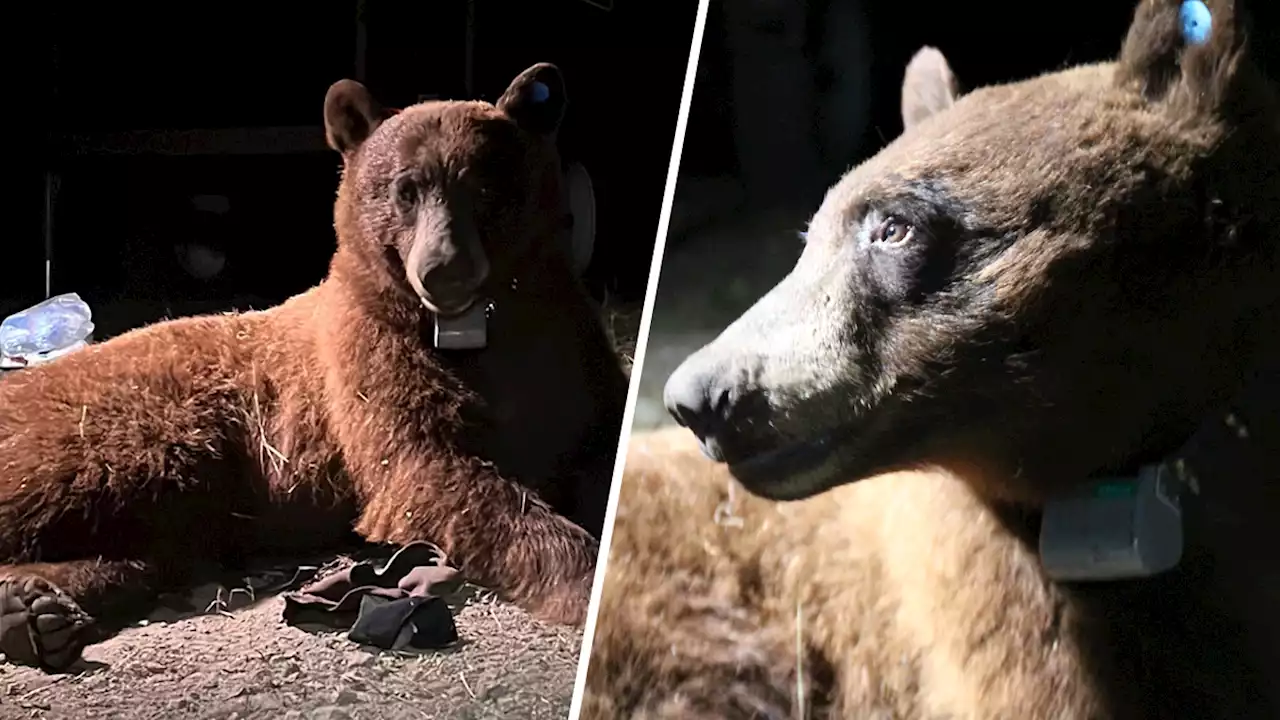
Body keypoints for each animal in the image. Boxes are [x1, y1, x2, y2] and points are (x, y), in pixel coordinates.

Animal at [0, 64, 624, 671]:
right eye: (405, 189)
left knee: (145, 553)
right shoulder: (372, 368)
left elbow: (594, 436)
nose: (444, 269)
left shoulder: (567, 348)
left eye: (485, 186)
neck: (472, 327)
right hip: (133, 436)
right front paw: (584, 576)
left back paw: (35, 612)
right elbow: (435, 473)